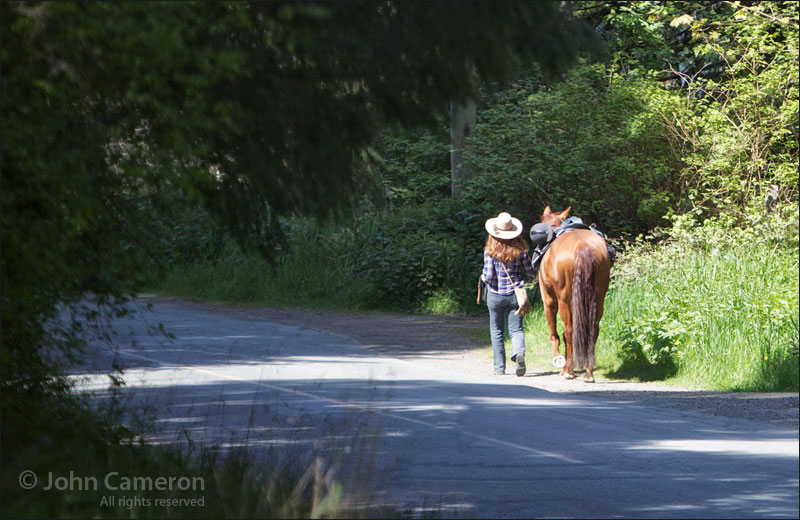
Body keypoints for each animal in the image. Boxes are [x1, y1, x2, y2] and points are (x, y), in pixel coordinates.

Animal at [537, 206, 611, 382]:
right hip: (598, 298)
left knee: (568, 331)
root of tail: (583, 246)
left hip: (563, 300)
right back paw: (589, 372)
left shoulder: (549, 300)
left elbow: (555, 335)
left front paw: (561, 363)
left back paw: (568, 371)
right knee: (593, 330)